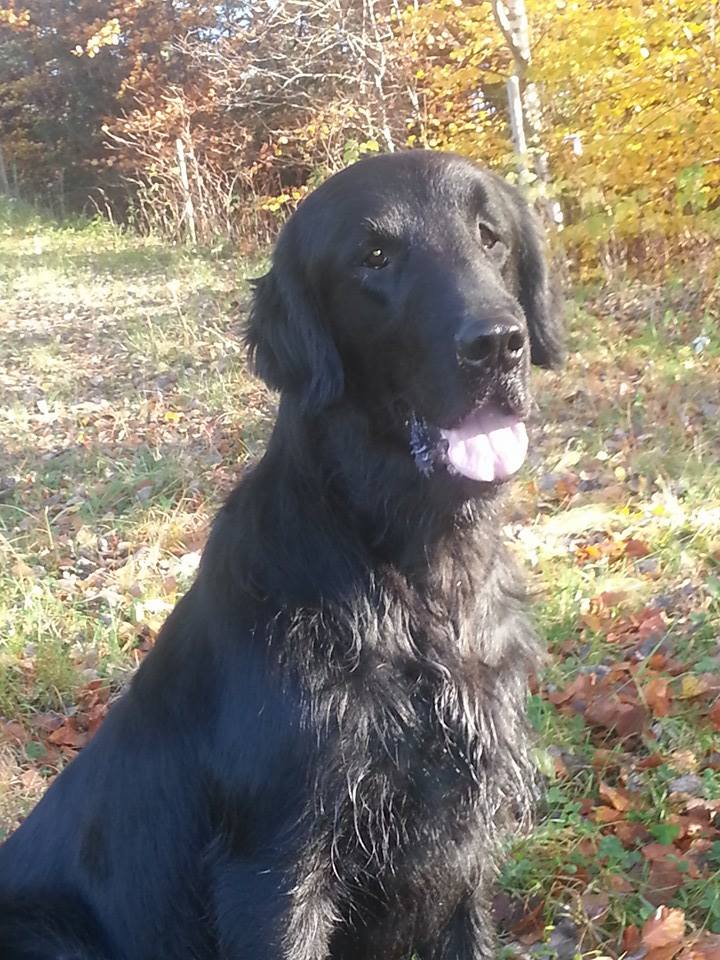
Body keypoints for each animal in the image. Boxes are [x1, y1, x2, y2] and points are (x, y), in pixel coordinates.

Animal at [0, 152, 564, 960]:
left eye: (492, 237)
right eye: (374, 256)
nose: (496, 342)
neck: (417, 581)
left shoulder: (461, 848)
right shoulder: (274, 867)